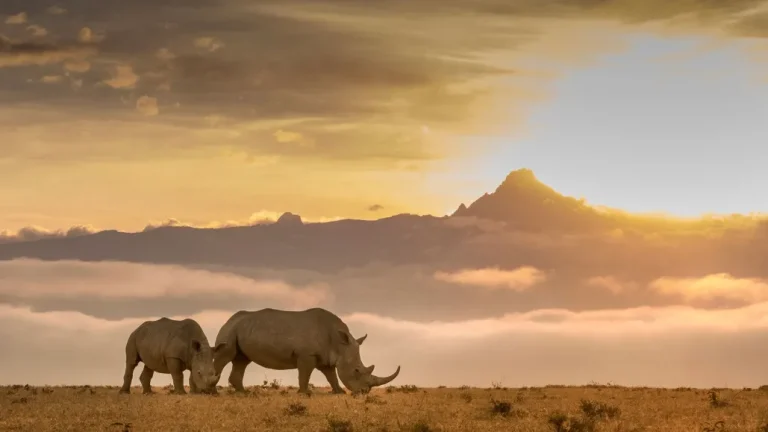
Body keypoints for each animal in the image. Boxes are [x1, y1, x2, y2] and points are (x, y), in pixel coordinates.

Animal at [212, 308, 401, 395]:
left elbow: (331, 376)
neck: (339, 343)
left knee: (241, 360)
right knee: (225, 356)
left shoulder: (326, 358)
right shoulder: (306, 355)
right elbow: (304, 374)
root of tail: (229, 318)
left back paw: (244, 393)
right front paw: (304, 393)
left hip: (240, 329)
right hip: (230, 330)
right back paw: (212, 391)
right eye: (356, 370)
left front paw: (338, 392)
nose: (364, 392)